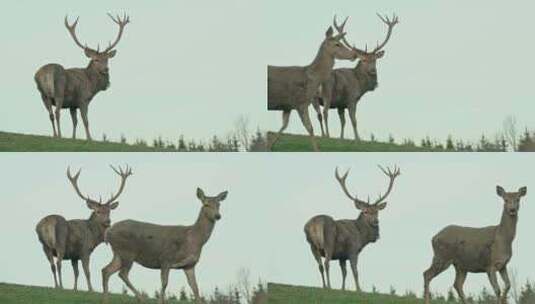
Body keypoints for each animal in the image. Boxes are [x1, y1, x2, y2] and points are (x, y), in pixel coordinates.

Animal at [266, 16, 358, 151]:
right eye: (337, 44)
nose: (354, 54)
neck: (311, 79)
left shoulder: (287, 106)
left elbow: (284, 126)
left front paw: (269, 146)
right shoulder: (301, 102)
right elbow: (310, 128)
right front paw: (317, 150)